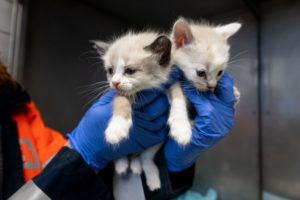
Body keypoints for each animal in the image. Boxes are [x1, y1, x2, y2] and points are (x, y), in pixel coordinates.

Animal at [95, 31, 172, 191]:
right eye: (110, 71)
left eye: (129, 71)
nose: (114, 82)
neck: (143, 91)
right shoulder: (120, 93)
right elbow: (121, 101)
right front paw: (117, 128)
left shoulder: (166, 84)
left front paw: (182, 126)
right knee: (122, 154)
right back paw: (122, 165)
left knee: (144, 157)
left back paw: (145, 173)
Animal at [168, 18, 243, 146]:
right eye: (200, 73)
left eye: (220, 72)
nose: (212, 87)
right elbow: (177, 94)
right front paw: (181, 126)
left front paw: (234, 92)